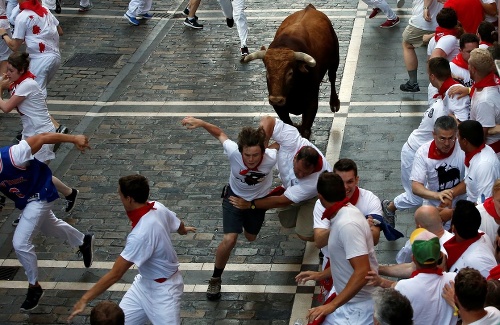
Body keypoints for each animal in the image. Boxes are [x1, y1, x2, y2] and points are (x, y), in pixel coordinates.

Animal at [243, 4, 340, 138]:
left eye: (290, 73)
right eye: (267, 72)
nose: (276, 99)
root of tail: (310, 8)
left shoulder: (312, 103)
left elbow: (305, 130)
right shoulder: (280, 108)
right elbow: (290, 126)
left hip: (335, 60)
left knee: (332, 77)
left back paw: (335, 103)